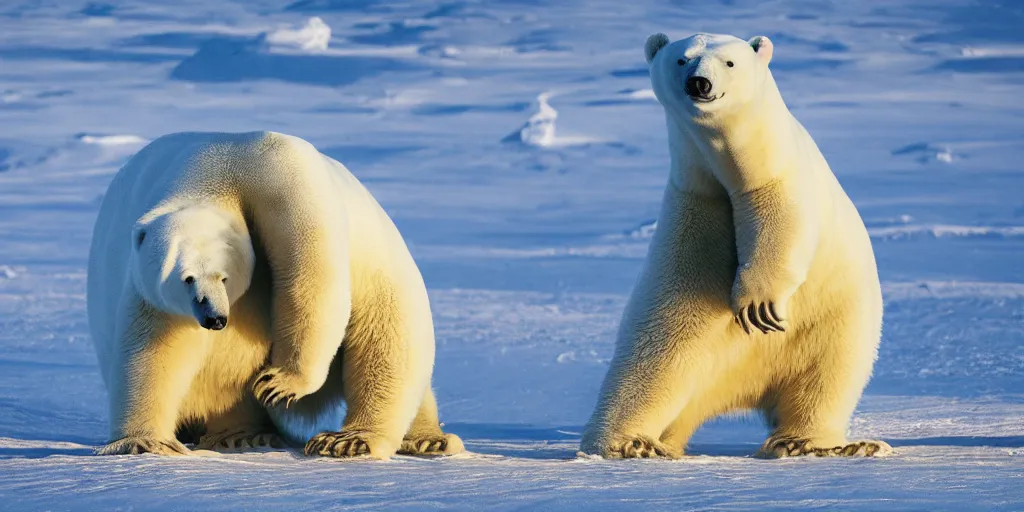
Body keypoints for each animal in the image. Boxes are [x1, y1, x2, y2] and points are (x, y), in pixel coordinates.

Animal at [88, 130, 464, 458]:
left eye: (223, 278)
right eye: (186, 278)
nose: (214, 318)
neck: (213, 173)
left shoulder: (283, 185)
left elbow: (311, 277)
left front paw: (278, 383)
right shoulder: (150, 280)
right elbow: (155, 348)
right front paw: (144, 442)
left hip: (382, 270)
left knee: (386, 341)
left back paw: (359, 440)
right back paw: (243, 434)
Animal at [581, 32, 892, 458]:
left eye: (729, 62)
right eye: (682, 59)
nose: (699, 83)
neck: (732, 162)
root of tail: (735, 392)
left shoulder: (781, 177)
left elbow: (783, 224)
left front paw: (757, 306)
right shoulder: (699, 200)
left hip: (834, 317)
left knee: (829, 371)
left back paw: (811, 442)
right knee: (655, 358)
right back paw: (633, 443)